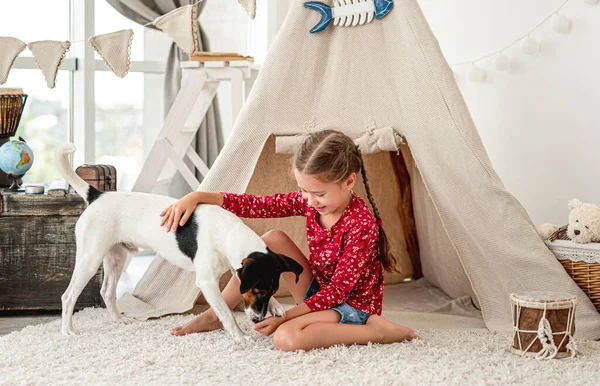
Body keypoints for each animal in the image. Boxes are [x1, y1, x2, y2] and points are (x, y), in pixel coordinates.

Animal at [56, 143, 302, 340]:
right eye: (258, 291)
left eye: (269, 290)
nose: (258, 320)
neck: (226, 233)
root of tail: (97, 195)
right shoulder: (207, 282)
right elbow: (226, 312)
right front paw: (240, 336)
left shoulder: (237, 269)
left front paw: (276, 306)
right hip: (90, 258)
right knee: (68, 296)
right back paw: (68, 331)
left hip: (116, 257)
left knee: (107, 291)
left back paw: (120, 320)